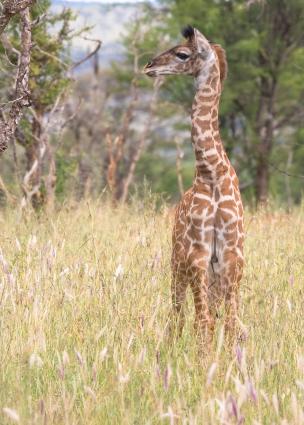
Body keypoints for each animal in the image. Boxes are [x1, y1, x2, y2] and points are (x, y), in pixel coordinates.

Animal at [144, 26, 245, 352]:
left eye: (182, 54)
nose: (149, 66)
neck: (212, 171)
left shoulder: (230, 256)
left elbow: (228, 324)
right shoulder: (198, 255)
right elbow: (205, 322)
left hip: (207, 272)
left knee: (208, 317)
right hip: (178, 264)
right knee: (178, 315)